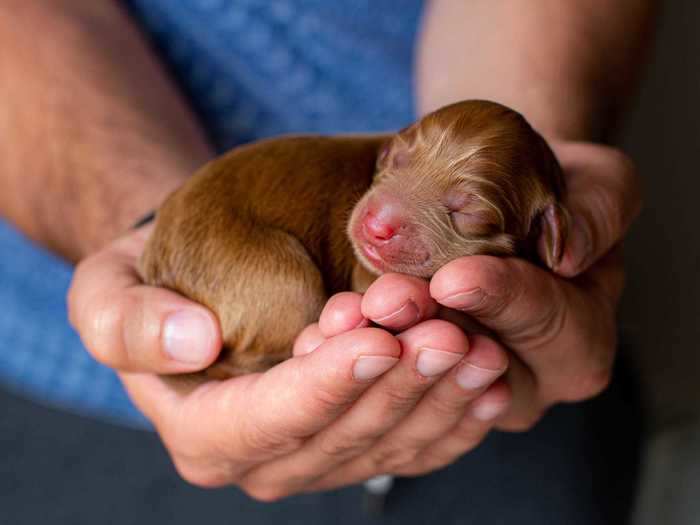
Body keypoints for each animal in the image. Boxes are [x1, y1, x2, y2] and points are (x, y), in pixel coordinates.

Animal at [139, 99, 568, 376]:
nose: (376, 225)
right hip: (278, 278)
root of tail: (159, 266)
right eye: (399, 160)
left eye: (469, 213)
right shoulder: (366, 276)